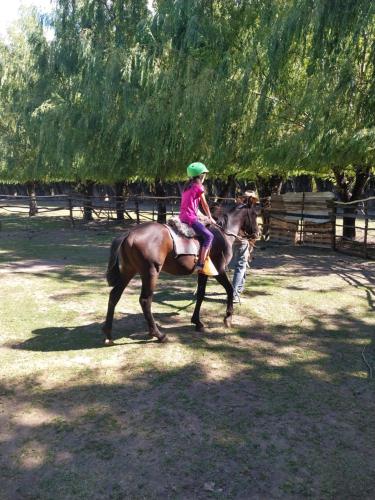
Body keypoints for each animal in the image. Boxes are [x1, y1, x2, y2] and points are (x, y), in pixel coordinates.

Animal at [101, 203, 258, 344]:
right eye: (255, 215)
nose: (257, 233)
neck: (222, 234)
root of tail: (129, 233)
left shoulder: (203, 272)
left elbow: (200, 295)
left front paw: (197, 322)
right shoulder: (218, 270)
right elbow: (230, 289)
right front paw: (228, 318)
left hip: (129, 271)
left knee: (114, 295)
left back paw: (108, 334)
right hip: (150, 273)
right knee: (145, 301)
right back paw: (158, 335)